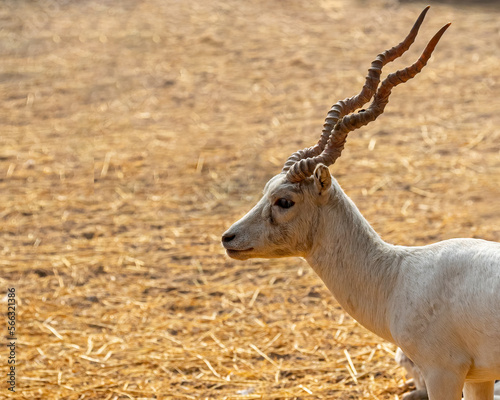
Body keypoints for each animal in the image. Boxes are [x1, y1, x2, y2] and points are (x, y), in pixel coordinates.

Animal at [222, 7, 500, 400]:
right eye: (266, 188)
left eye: (285, 201)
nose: (228, 238)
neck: (396, 275)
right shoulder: (479, 376)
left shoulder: (443, 372)